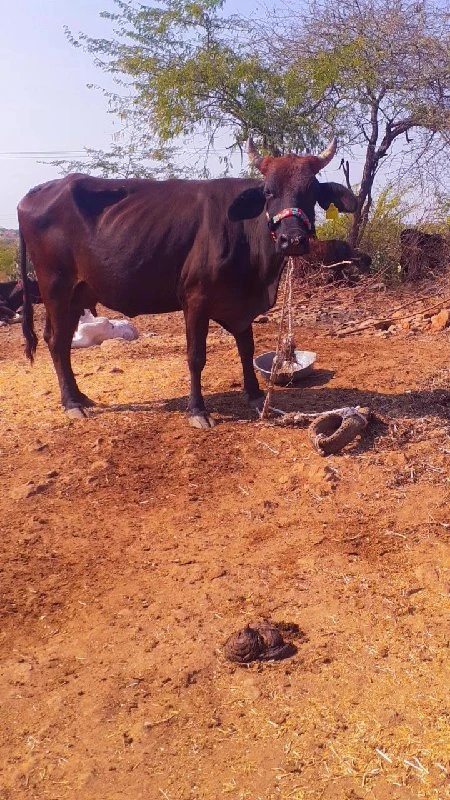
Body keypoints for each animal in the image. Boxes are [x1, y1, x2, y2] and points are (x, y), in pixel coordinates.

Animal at [16, 134, 356, 428]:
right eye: (269, 191)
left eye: (311, 191)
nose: (292, 240)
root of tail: (37, 191)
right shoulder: (195, 300)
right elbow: (195, 357)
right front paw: (197, 410)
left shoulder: (240, 306)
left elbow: (246, 348)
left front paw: (257, 396)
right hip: (56, 288)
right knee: (57, 342)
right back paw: (72, 403)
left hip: (76, 295)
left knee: (58, 341)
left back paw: (80, 396)